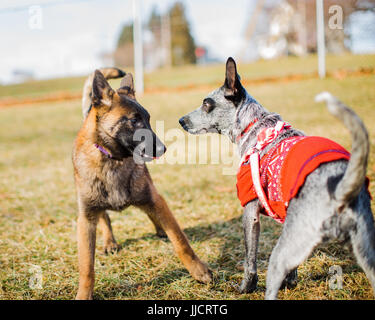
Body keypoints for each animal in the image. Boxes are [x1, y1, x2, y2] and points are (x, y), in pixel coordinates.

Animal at [71, 68, 212, 300]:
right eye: (134, 121)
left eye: (148, 119)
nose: (163, 149)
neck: (113, 161)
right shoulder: (86, 219)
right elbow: (86, 266)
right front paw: (84, 294)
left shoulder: (154, 198)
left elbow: (181, 242)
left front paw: (198, 270)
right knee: (105, 218)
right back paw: (110, 242)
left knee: (152, 213)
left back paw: (160, 229)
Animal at [179, 56, 375, 298]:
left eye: (207, 103)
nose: (181, 121)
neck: (257, 127)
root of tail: (339, 191)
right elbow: (294, 268)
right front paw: (290, 282)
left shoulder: (250, 213)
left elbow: (250, 262)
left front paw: (246, 288)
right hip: (365, 251)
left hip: (279, 254)